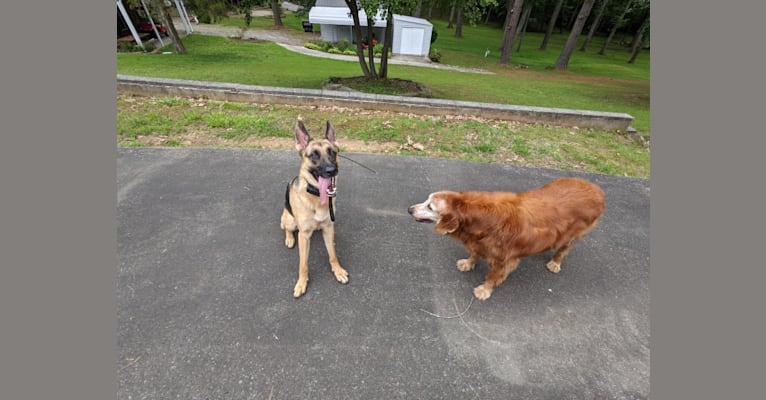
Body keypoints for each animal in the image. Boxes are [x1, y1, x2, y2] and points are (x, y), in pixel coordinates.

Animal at [280, 119, 350, 296]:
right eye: (313, 155)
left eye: (332, 152)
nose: (331, 170)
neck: (316, 197)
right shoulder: (304, 236)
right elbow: (303, 264)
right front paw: (301, 283)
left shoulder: (329, 228)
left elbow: (333, 254)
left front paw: (338, 271)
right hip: (289, 220)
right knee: (287, 228)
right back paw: (289, 238)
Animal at [408, 178, 608, 300]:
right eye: (426, 201)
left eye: (430, 207)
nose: (410, 209)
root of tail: (596, 189)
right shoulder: (480, 243)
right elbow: (475, 253)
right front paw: (468, 262)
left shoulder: (503, 260)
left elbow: (492, 276)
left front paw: (484, 289)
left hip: (573, 235)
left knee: (564, 249)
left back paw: (555, 262)